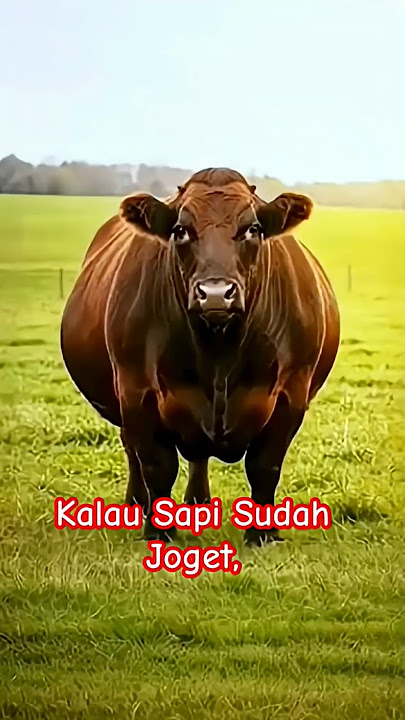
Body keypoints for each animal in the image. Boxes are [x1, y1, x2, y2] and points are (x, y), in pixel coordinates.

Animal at [61, 168, 340, 545]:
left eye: (253, 229)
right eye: (181, 230)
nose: (216, 293)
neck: (218, 354)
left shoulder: (291, 393)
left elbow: (264, 466)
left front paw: (262, 534)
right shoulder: (137, 392)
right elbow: (157, 466)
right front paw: (159, 531)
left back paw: (198, 502)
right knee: (134, 450)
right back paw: (136, 504)